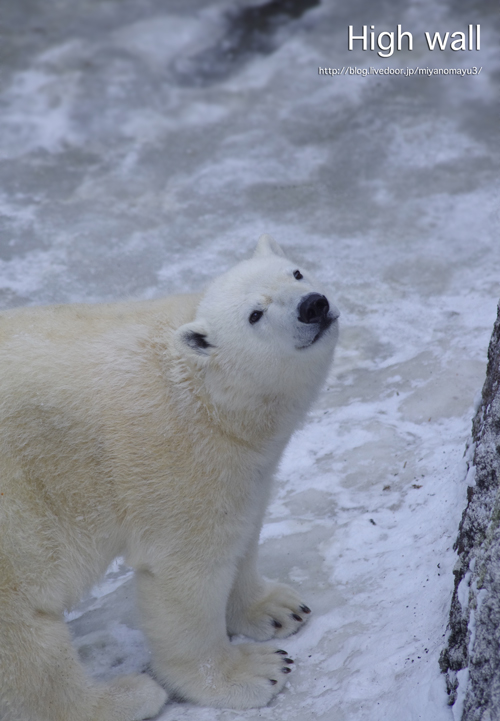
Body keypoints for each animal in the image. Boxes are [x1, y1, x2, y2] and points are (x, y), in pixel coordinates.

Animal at [0, 236, 340, 720]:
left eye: (295, 272)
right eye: (254, 315)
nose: (313, 305)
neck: (210, 393)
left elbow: (242, 530)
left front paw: (277, 608)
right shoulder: (174, 453)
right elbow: (186, 571)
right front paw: (252, 673)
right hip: (16, 509)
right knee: (20, 626)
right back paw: (126, 696)